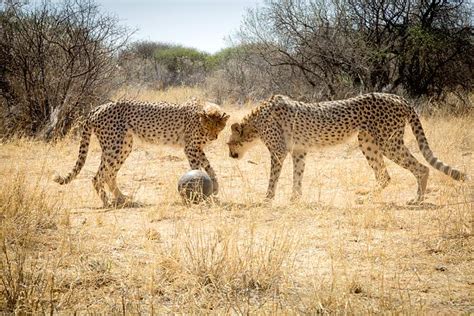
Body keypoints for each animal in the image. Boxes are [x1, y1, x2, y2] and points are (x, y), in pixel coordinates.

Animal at [54, 99, 229, 207]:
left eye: (219, 127)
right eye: (208, 127)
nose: (213, 137)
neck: (201, 111)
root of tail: (99, 107)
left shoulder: (198, 149)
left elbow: (210, 168)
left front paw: (215, 189)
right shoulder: (191, 148)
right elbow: (197, 169)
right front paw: (198, 195)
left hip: (123, 146)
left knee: (110, 174)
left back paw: (122, 198)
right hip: (116, 146)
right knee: (98, 176)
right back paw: (107, 202)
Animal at [229, 92, 466, 204]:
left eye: (229, 143)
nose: (231, 155)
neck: (255, 123)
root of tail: (397, 96)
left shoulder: (279, 152)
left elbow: (274, 177)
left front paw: (268, 198)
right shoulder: (299, 150)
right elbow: (298, 175)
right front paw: (295, 198)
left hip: (388, 142)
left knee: (421, 168)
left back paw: (417, 199)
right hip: (368, 141)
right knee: (385, 175)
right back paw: (368, 198)